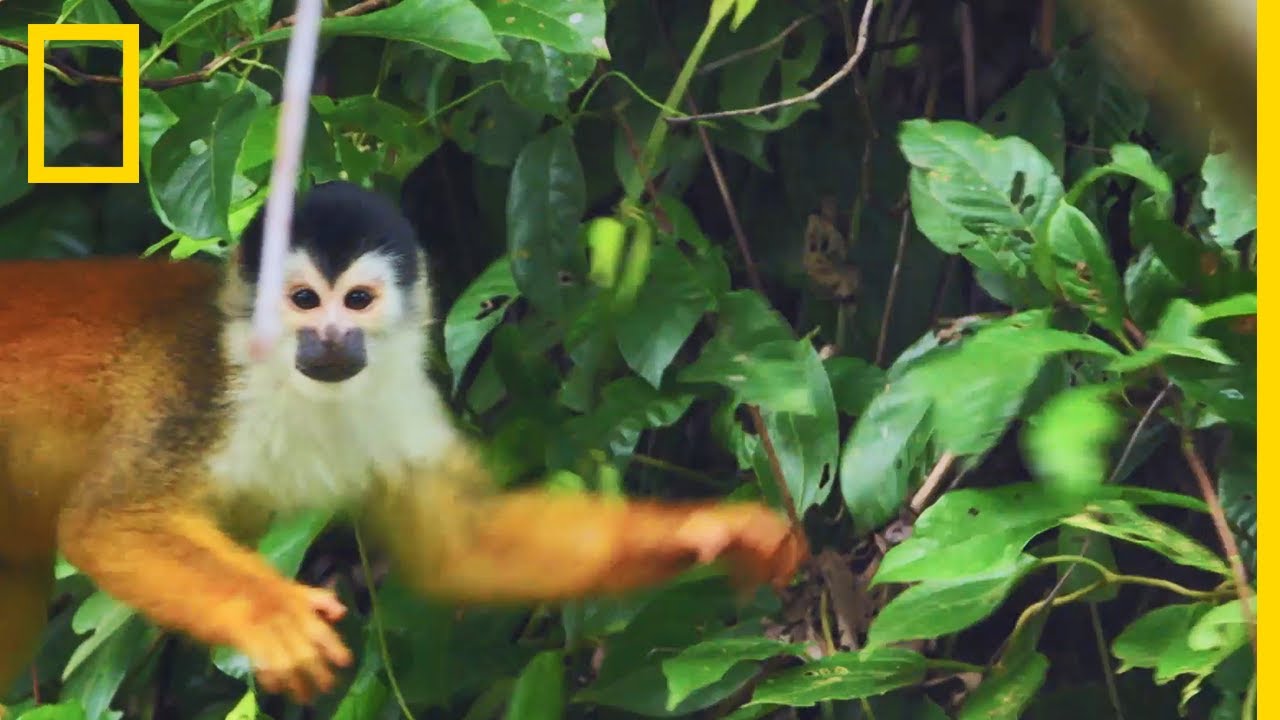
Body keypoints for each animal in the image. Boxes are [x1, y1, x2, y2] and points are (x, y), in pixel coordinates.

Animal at [0, 181, 807, 706]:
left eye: (356, 301)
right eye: (303, 301)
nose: (330, 338)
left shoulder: (402, 399)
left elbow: (466, 548)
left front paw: (703, 530)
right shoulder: (195, 386)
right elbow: (108, 521)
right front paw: (270, 617)